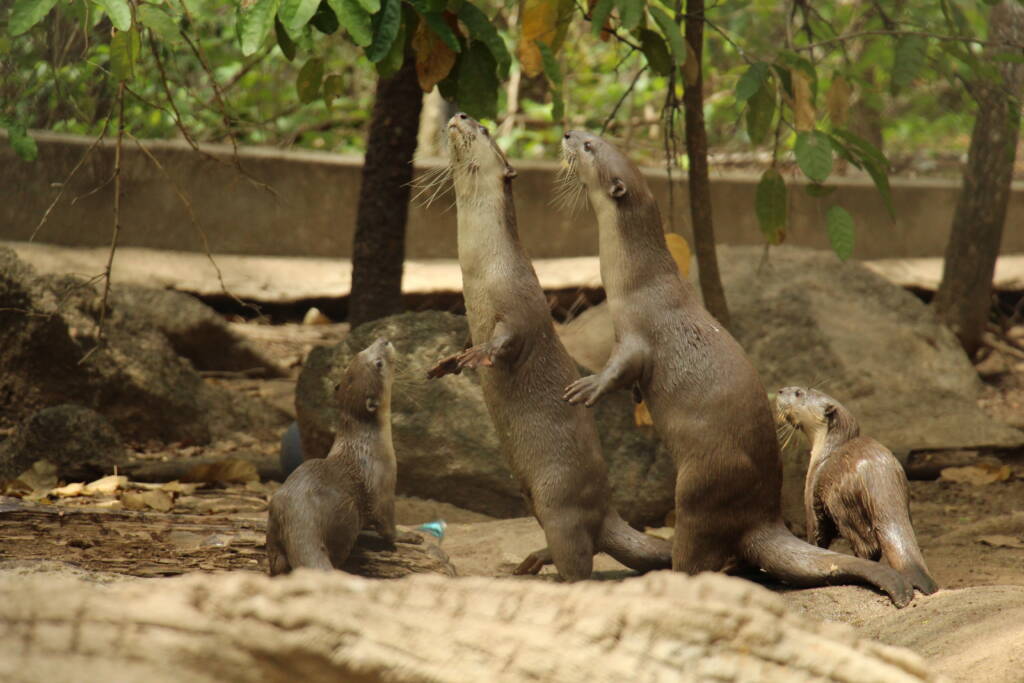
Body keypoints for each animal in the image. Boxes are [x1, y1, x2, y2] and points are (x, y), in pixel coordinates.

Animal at [268, 337, 423, 577]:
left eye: (359, 352)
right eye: (378, 363)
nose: (384, 339)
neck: (369, 444)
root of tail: (300, 516)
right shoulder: (383, 487)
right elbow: (388, 527)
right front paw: (410, 536)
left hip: (274, 519)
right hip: (346, 518)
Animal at [425, 113, 671, 581]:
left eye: (484, 129)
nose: (461, 115)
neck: (484, 270)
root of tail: (607, 511)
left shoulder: (520, 306)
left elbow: (510, 339)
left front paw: (478, 356)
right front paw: (448, 361)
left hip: (558, 499)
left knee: (580, 555)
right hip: (534, 499)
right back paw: (530, 561)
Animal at [565, 131, 917, 606]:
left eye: (590, 147)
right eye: (595, 137)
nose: (568, 134)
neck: (638, 281)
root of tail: (761, 517)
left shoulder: (637, 333)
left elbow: (620, 369)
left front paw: (587, 387)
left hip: (700, 489)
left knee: (695, 555)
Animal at [774, 387, 937, 593]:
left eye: (798, 393)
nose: (780, 390)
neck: (824, 453)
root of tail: (877, 476)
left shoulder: (811, 494)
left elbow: (817, 534)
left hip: (845, 508)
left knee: (867, 547)